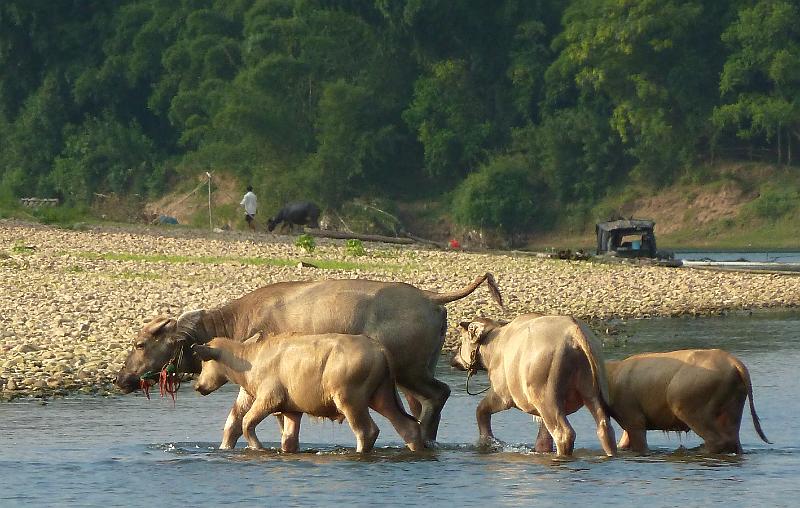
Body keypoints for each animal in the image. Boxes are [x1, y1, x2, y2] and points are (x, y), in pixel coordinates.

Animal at [193, 334, 422, 452]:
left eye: (204, 361)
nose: (198, 386)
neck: (248, 363)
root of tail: (381, 350)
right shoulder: (291, 409)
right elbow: (288, 440)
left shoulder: (270, 398)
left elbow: (246, 423)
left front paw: (258, 448)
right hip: (382, 396)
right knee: (408, 427)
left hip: (350, 398)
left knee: (366, 431)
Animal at [450, 314, 620, 456]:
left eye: (462, 340)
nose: (453, 359)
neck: (493, 347)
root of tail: (574, 332)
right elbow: (543, 440)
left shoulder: (502, 395)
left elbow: (480, 411)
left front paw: (487, 442)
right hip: (592, 390)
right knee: (605, 428)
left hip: (548, 398)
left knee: (563, 434)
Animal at [608, 350, 768, 452]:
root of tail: (735, 363)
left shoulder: (633, 417)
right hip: (733, 407)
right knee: (734, 439)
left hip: (684, 403)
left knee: (717, 440)